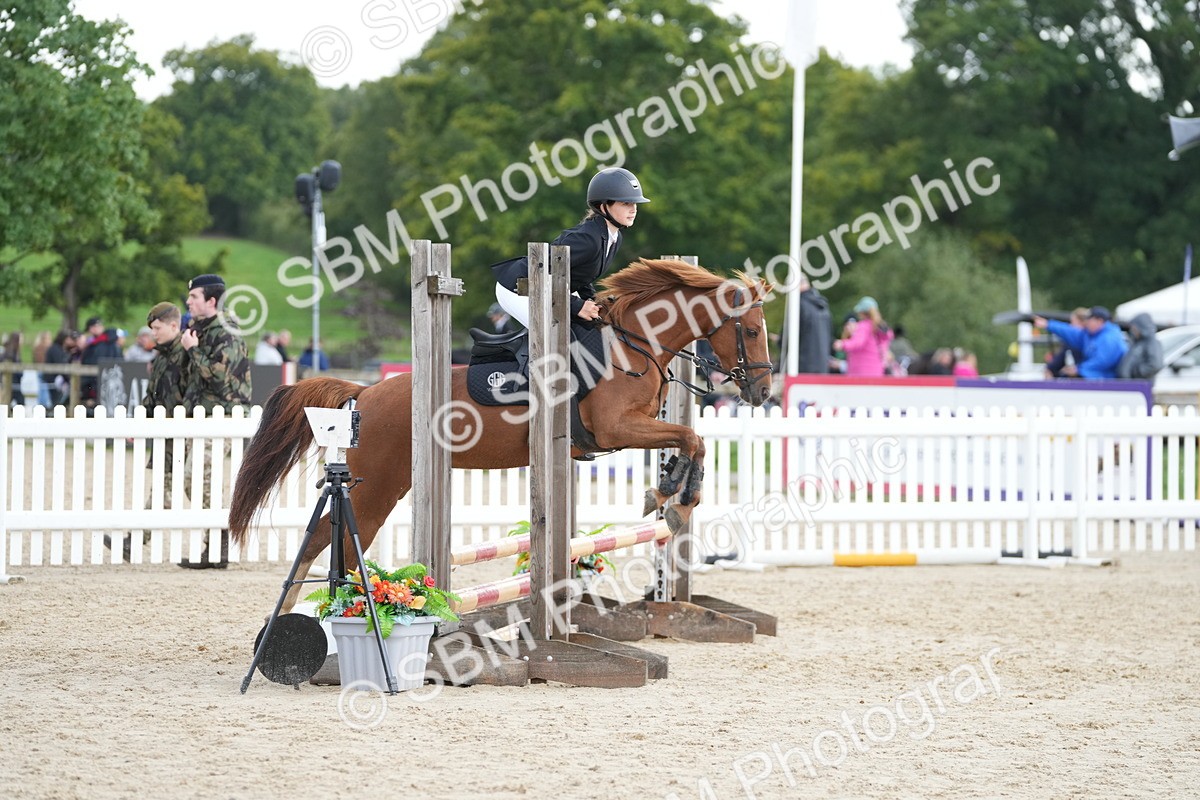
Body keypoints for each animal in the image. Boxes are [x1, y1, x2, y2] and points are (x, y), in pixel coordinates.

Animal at [229, 258, 774, 612]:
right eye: (750, 330)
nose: (764, 391)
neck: (633, 345)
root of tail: (365, 391)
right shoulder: (616, 428)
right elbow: (691, 439)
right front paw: (672, 498)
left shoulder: (635, 427)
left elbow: (688, 440)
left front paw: (669, 494)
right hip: (379, 484)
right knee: (332, 535)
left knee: (329, 536)